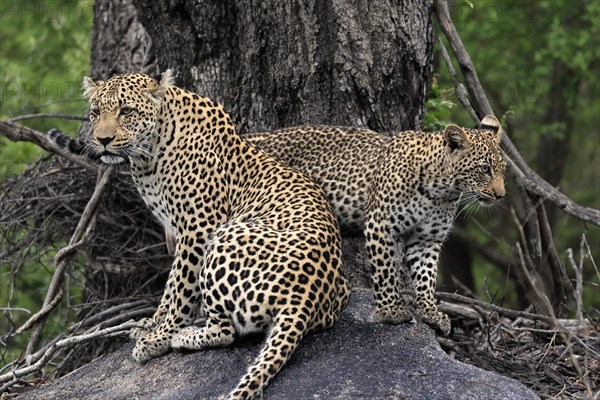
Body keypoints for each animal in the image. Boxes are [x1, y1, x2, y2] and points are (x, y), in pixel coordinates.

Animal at [47, 70, 352, 398]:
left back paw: (183, 336)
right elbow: (171, 286)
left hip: (225, 238)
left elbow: (181, 288)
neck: (149, 154)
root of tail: (304, 297)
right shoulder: (177, 228)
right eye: (95, 113)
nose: (102, 141)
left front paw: (159, 338)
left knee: (227, 332)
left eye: (125, 111)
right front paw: (152, 323)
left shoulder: (198, 227)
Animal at [245, 117, 506, 336]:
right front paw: (390, 310)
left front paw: (430, 312)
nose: (501, 195)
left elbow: (426, 276)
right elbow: (385, 270)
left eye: (503, 169)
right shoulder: (381, 224)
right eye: (484, 169)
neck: (441, 190)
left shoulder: (427, 239)